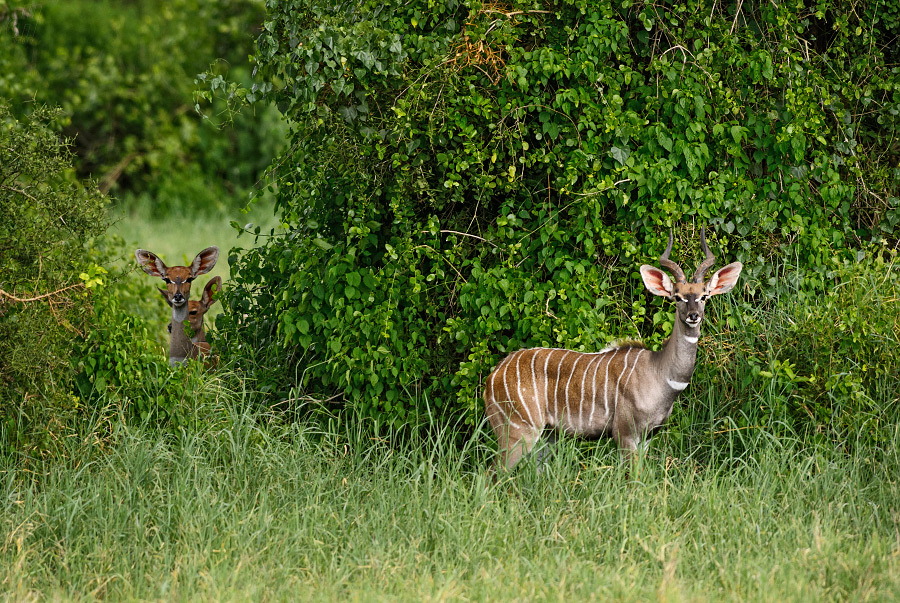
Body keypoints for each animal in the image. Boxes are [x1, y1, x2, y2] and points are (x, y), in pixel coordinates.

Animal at [486, 229, 744, 474]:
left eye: (704, 296)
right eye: (678, 297)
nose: (693, 316)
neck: (660, 375)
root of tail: (492, 377)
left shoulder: (647, 437)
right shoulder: (625, 432)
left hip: (548, 435)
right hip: (518, 431)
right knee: (493, 474)